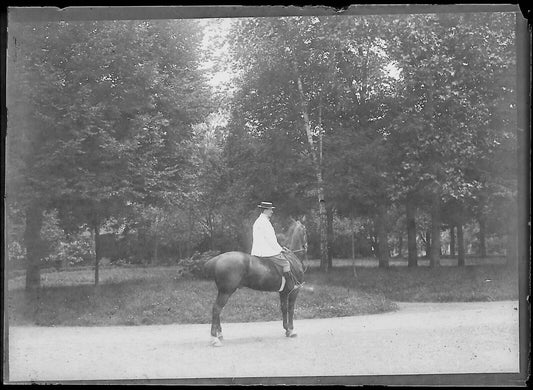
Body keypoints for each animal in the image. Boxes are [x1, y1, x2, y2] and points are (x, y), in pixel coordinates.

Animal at [203, 219, 308, 348]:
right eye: (305, 230)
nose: (306, 247)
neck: (292, 257)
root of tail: (217, 259)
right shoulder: (294, 291)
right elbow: (291, 309)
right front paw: (292, 330)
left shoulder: (283, 292)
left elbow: (284, 308)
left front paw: (287, 329)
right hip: (226, 292)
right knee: (217, 309)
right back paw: (214, 338)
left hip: (222, 292)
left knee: (217, 309)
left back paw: (219, 334)